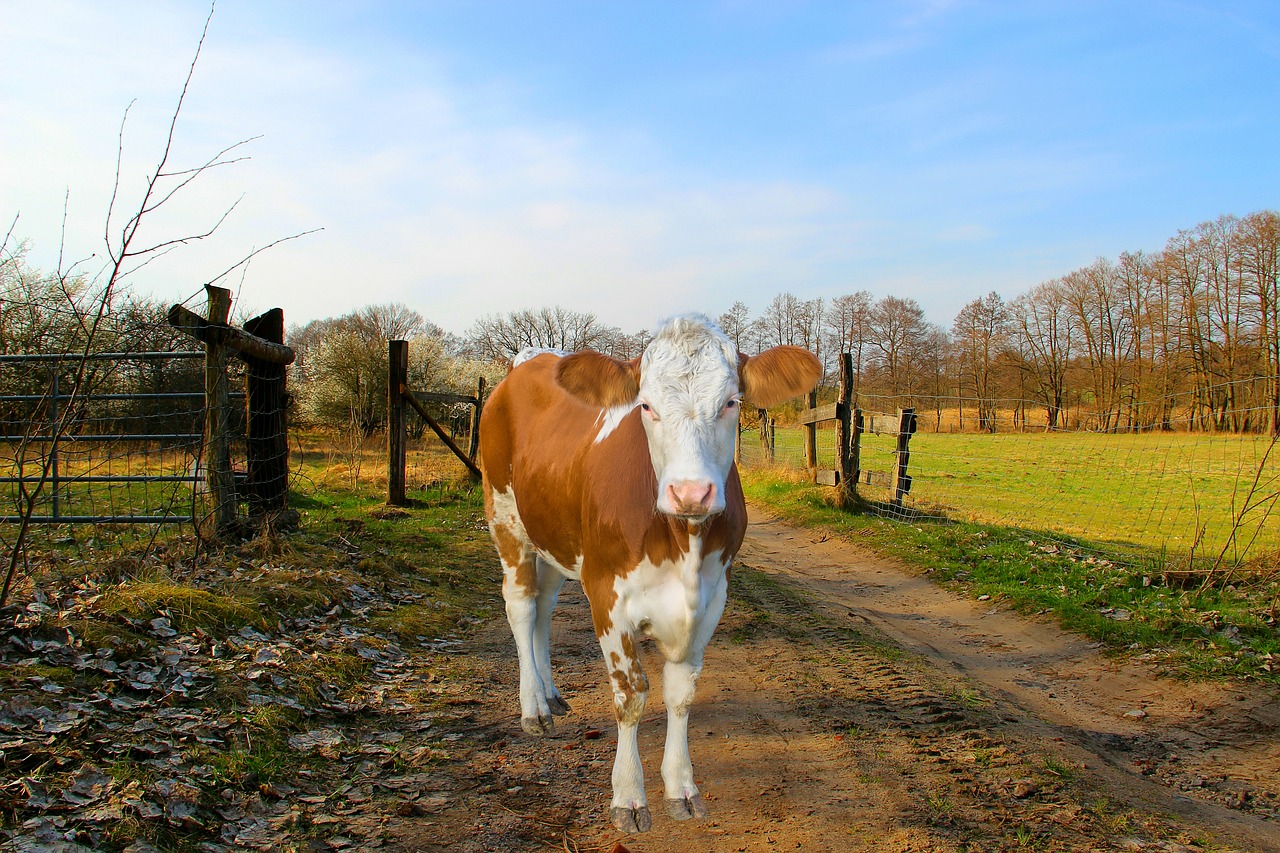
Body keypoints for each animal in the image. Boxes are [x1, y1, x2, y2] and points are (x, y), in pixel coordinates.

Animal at [481, 312, 819, 829]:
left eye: (731, 402)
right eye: (646, 405)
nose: (691, 492)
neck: (683, 545)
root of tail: (529, 360)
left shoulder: (711, 597)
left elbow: (681, 694)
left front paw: (681, 787)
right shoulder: (607, 596)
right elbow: (631, 696)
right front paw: (628, 796)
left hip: (556, 537)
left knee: (544, 607)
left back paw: (551, 693)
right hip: (505, 516)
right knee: (520, 605)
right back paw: (534, 707)